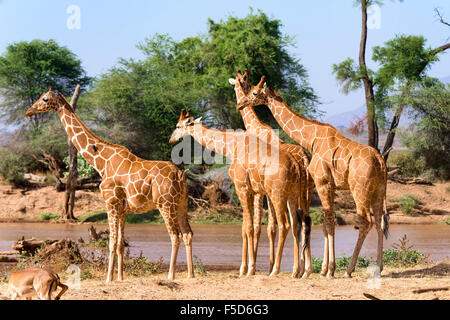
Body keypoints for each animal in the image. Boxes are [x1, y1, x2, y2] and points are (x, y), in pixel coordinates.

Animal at [25, 89, 193, 282]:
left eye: (45, 99)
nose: (29, 111)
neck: (101, 163)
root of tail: (180, 174)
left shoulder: (110, 203)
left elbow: (111, 243)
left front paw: (108, 279)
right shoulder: (122, 210)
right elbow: (120, 244)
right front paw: (119, 278)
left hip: (166, 204)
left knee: (175, 236)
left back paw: (171, 275)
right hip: (181, 204)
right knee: (188, 234)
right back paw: (191, 274)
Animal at [169, 110, 310, 278]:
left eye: (178, 126)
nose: (171, 139)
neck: (231, 147)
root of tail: (296, 165)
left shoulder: (242, 187)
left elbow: (249, 227)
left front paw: (250, 269)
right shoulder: (252, 191)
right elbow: (245, 227)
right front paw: (244, 269)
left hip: (277, 193)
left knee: (284, 224)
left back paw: (275, 270)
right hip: (292, 194)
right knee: (296, 224)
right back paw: (295, 271)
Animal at [239, 77, 390, 278]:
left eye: (254, 92)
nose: (240, 104)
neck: (311, 140)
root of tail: (381, 162)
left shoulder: (323, 182)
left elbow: (329, 223)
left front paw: (329, 270)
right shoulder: (329, 185)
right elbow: (326, 224)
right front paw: (324, 269)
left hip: (360, 190)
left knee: (366, 222)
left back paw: (348, 270)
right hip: (379, 190)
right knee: (380, 223)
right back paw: (379, 268)